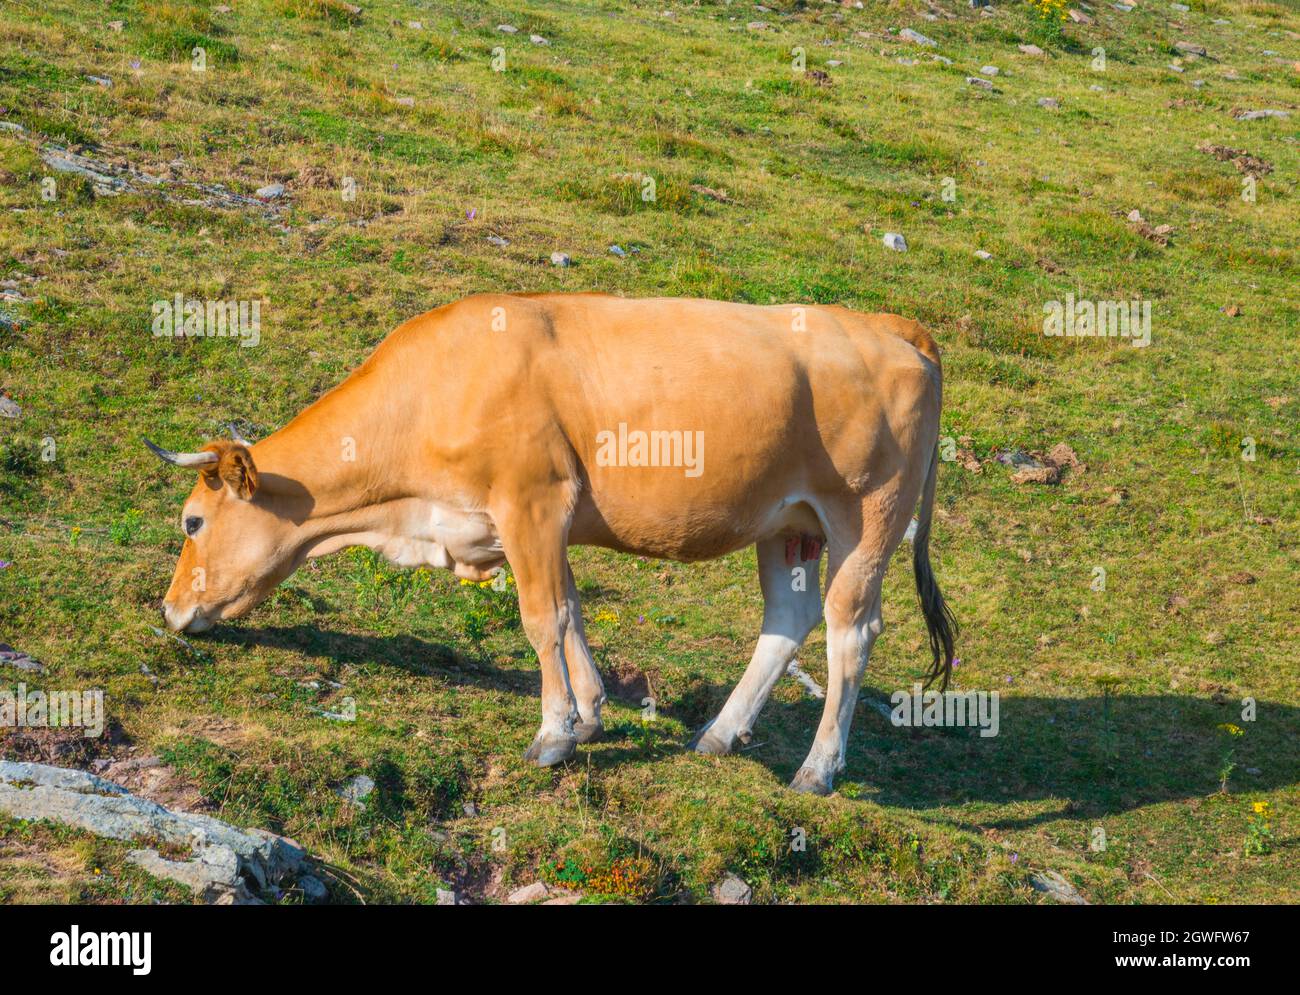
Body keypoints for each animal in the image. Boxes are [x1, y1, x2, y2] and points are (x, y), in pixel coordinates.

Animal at [147, 292, 956, 790]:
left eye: (192, 521)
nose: (169, 610)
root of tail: (887, 324)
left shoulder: (531, 500)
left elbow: (541, 618)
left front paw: (553, 733)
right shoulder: (541, 520)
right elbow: (569, 613)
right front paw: (590, 712)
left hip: (867, 516)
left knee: (851, 630)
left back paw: (818, 768)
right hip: (790, 526)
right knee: (787, 622)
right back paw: (720, 734)